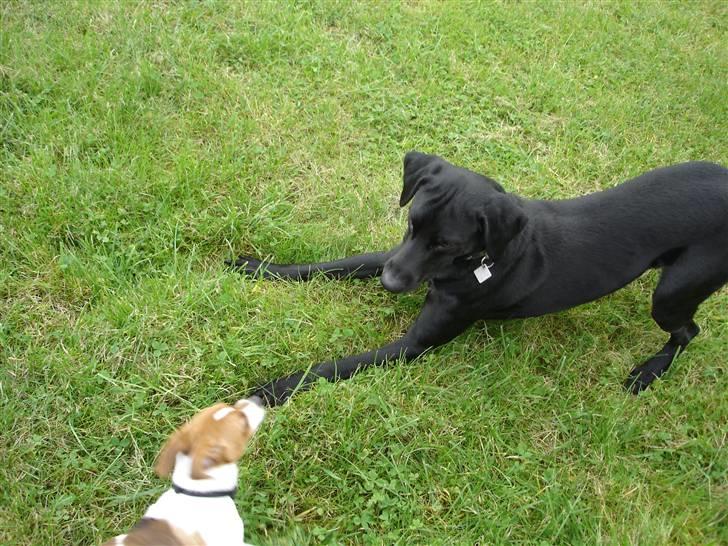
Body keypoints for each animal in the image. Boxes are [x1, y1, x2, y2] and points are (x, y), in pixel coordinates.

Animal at [232, 152, 728, 404]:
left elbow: (330, 367)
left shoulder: (414, 345)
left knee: (688, 330)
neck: (476, 261)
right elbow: (330, 265)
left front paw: (273, 391)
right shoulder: (392, 255)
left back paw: (649, 372)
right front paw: (257, 268)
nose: (390, 284)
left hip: (674, 290)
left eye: (447, 245)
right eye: (411, 223)